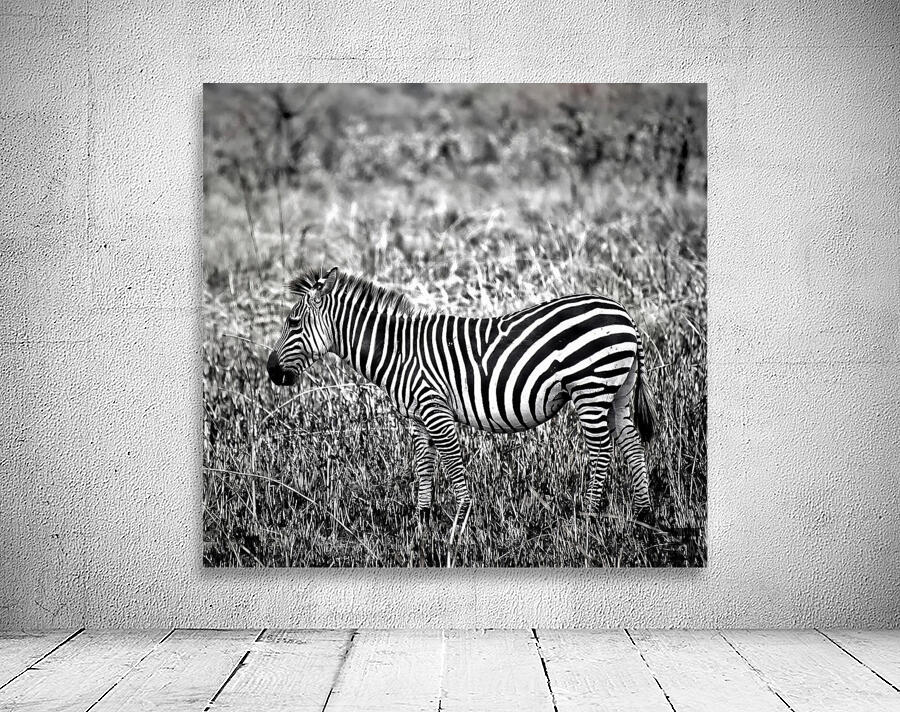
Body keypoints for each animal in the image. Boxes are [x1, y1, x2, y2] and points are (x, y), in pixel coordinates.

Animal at [267, 267, 656, 565]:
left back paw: (588, 520)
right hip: (619, 391)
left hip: (591, 386)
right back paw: (643, 518)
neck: (398, 352)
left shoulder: (434, 408)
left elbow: (453, 467)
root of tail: (624, 314)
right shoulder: (417, 418)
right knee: (633, 447)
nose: (271, 371)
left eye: (293, 322)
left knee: (601, 452)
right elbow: (424, 469)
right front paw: (421, 527)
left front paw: (459, 527)